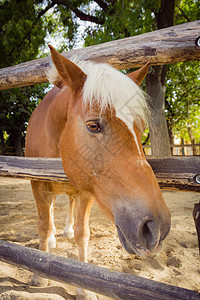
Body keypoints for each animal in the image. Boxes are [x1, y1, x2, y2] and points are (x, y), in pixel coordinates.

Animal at [25, 45, 170, 300]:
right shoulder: (38, 183)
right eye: (93, 125)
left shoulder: (87, 191)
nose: (156, 228)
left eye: (141, 127)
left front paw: (84, 289)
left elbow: (83, 234)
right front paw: (38, 273)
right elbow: (43, 226)